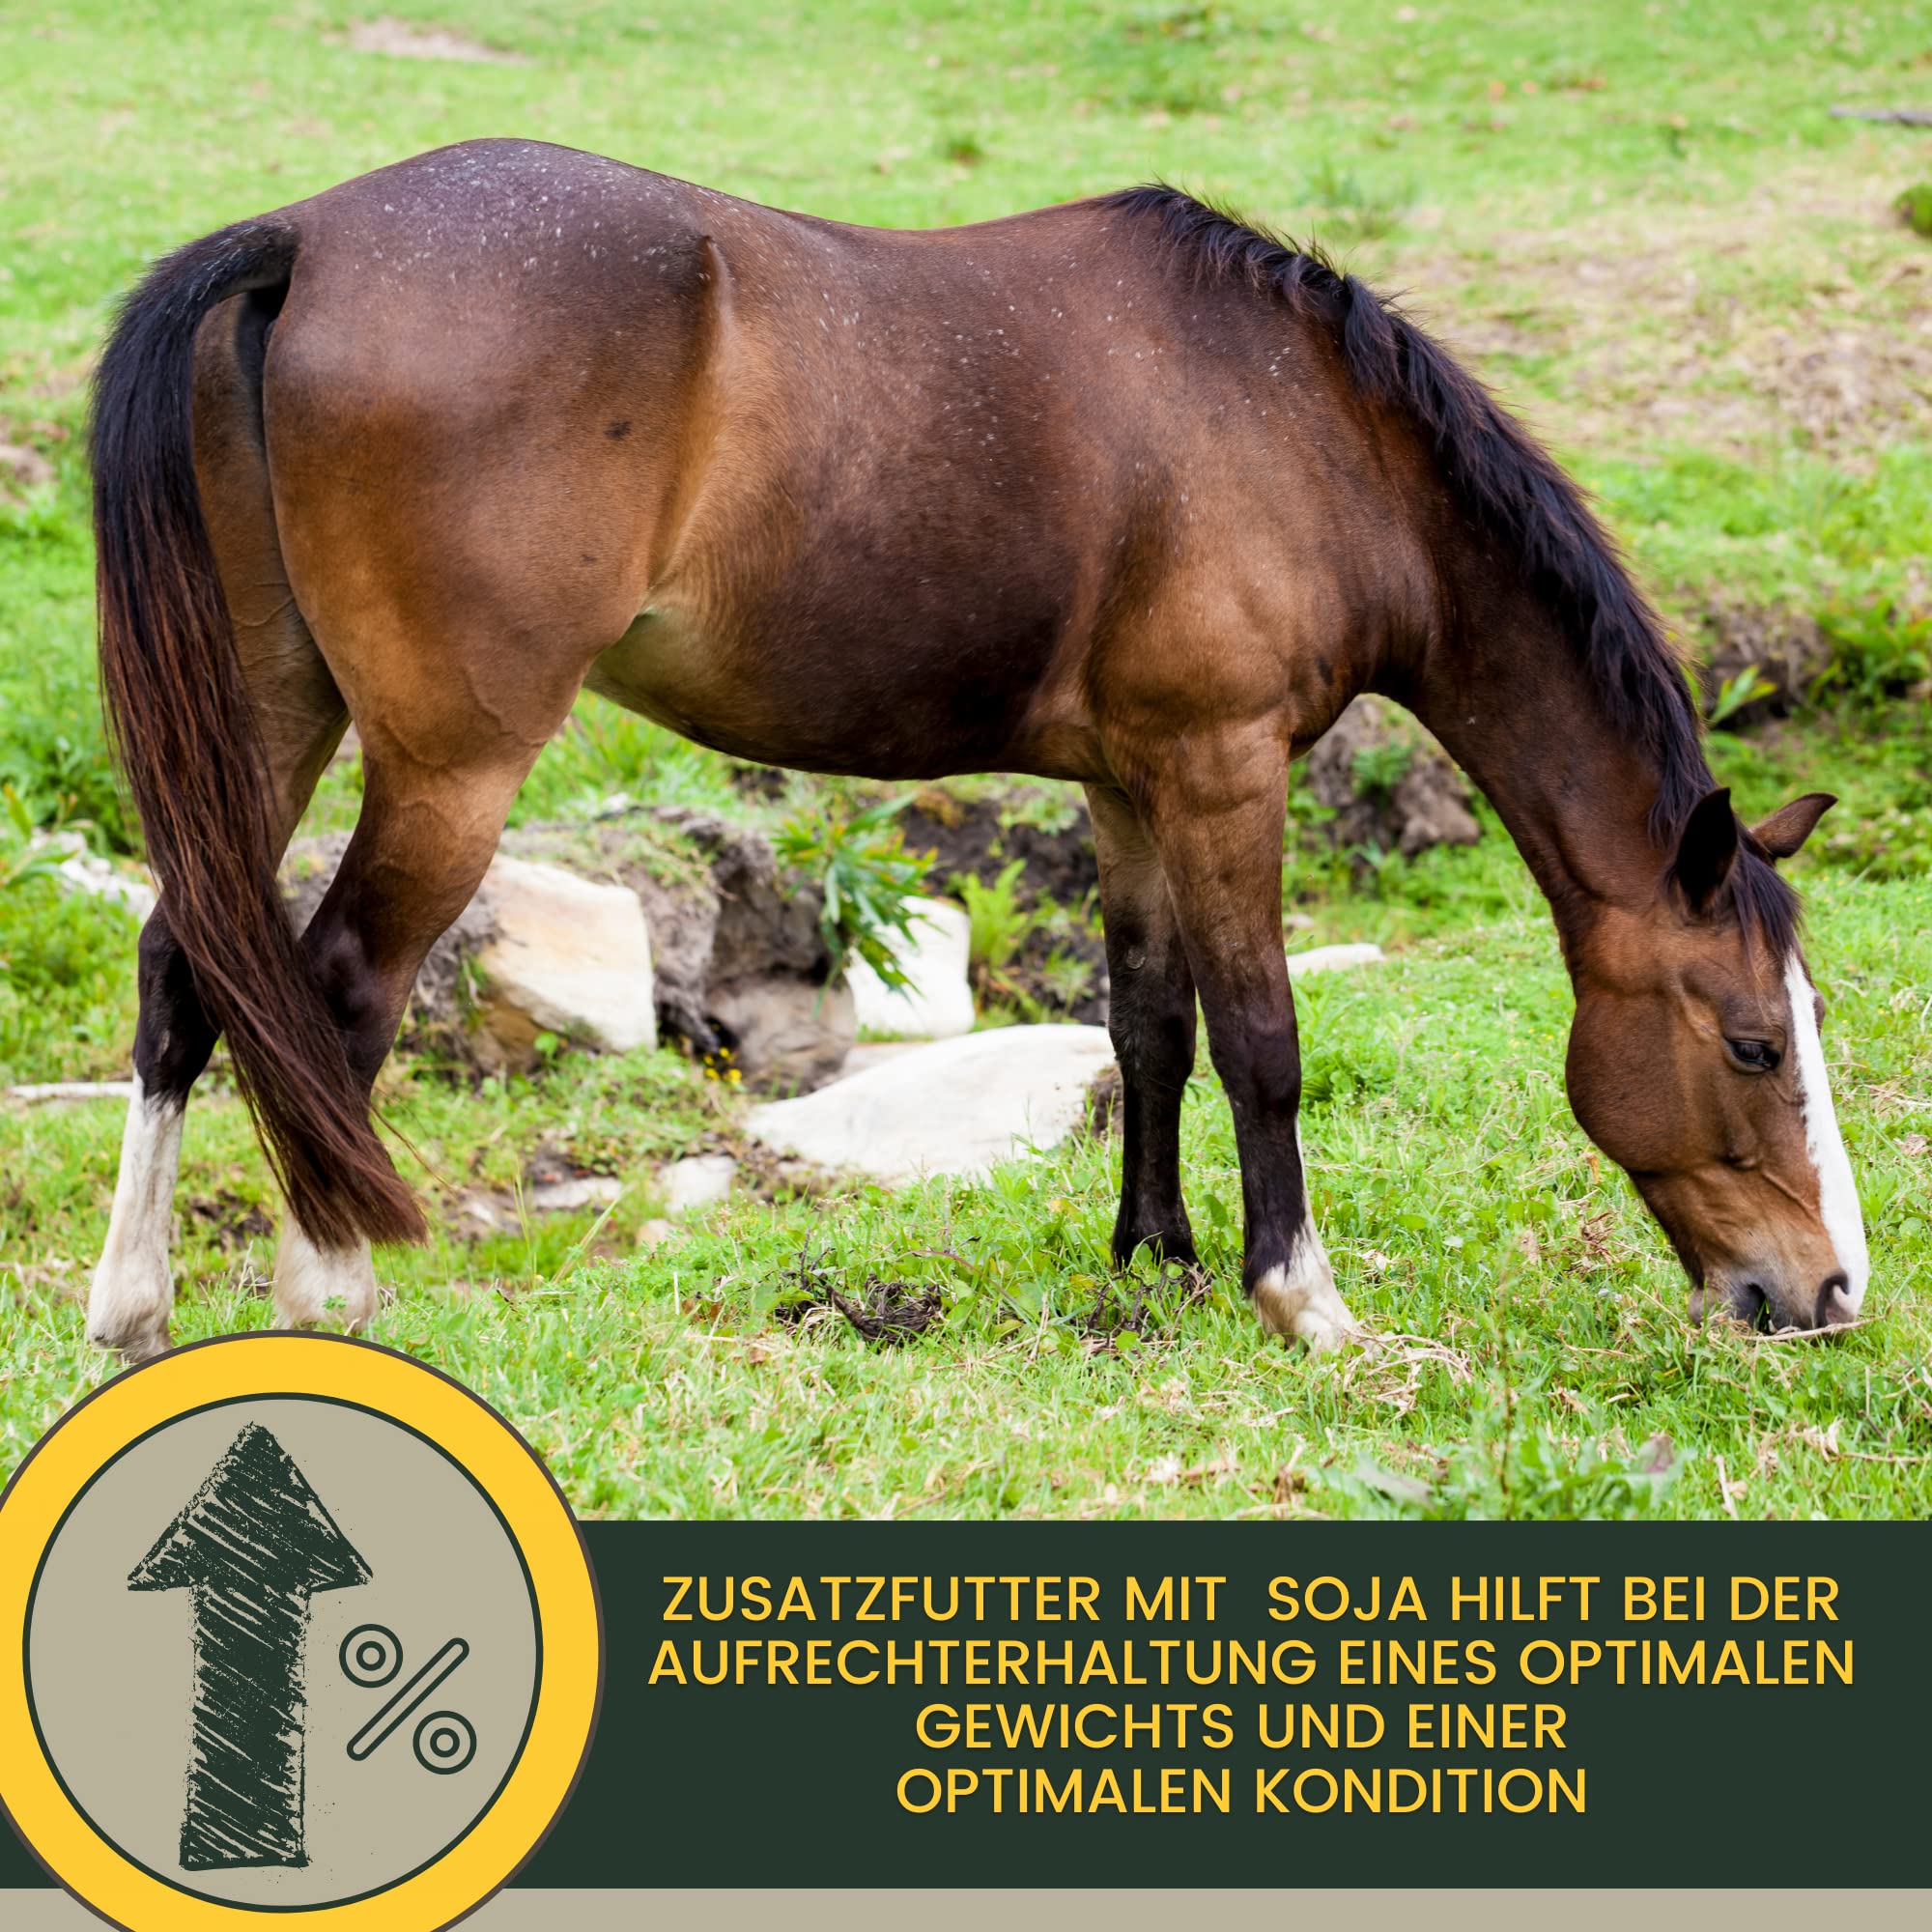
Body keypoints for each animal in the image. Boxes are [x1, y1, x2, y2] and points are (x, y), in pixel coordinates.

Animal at [84, 140, 1866, 1363]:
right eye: (1750, 1042)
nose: (1830, 1289)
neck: (1304, 431)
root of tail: (303, 242)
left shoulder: (1135, 782)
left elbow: (1150, 1024)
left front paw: (1156, 1260)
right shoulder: (1226, 767)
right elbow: (1264, 1036)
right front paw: (1303, 1300)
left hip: (271, 715)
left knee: (187, 966)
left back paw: (133, 1306)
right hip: (450, 769)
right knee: (334, 996)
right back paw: (328, 1294)